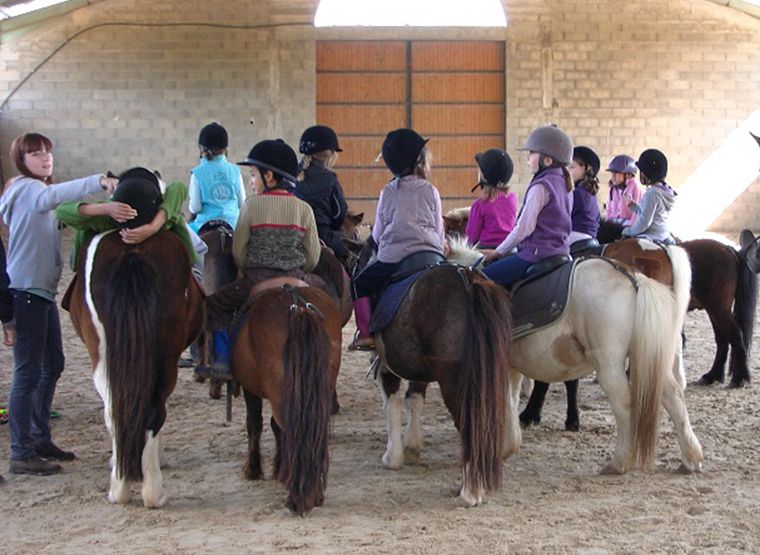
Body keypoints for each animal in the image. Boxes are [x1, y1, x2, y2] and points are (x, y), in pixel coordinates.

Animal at [230, 280, 340, 516]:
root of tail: (299, 307)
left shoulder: (251, 389)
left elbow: (255, 423)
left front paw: (254, 469)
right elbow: (274, 427)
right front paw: (280, 469)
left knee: (292, 430)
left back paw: (297, 498)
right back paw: (314, 494)